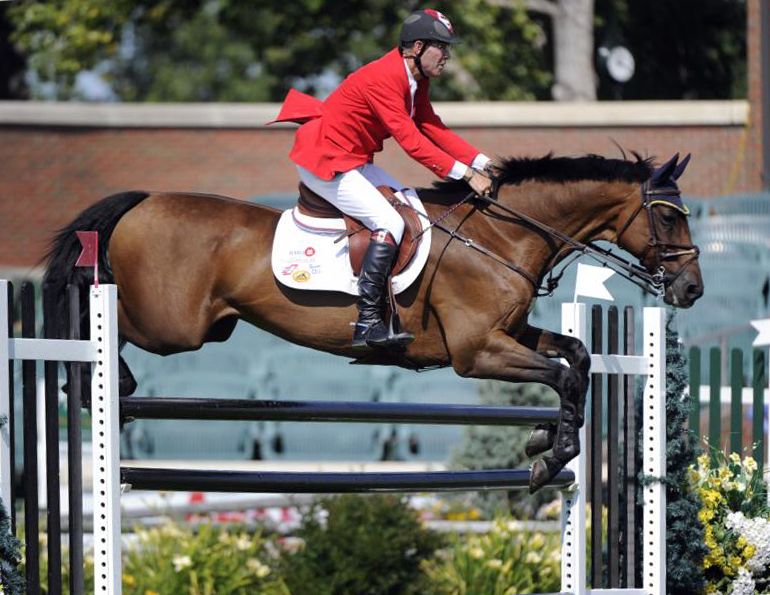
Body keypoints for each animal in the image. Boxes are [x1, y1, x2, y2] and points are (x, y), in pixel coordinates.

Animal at [43, 152, 703, 493]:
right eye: (670, 218)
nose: (692, 289)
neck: (500, 236)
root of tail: (145, 200)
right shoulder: (477, 353)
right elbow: (564, 374)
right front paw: (552, 454)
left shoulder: (506, 335)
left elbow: (578, 359)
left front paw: (546, 438)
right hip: (172, 325)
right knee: (95, 316)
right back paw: (95, 385)